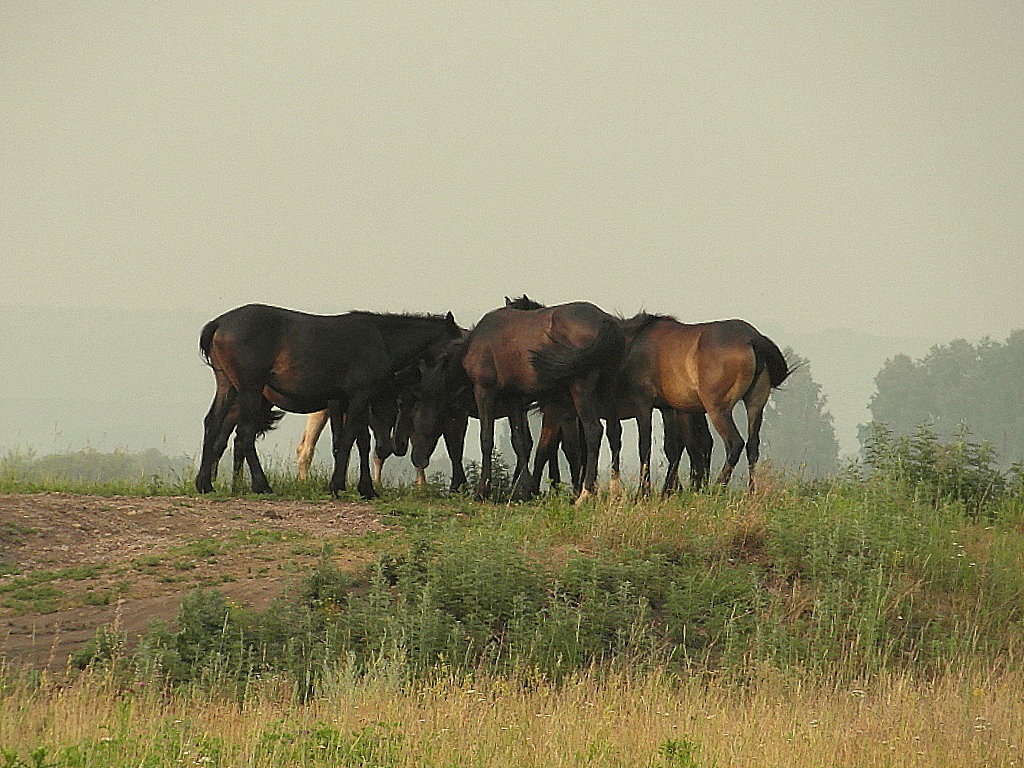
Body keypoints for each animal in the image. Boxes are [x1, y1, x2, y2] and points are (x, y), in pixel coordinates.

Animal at [195, 303, 460, 495]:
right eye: (454, 345)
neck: (381, 339)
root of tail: (219, 323)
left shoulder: (351, 401)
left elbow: (359, 442)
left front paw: (364, 488)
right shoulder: (358, 397)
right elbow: (347, 440)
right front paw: (338, 485)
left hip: (228, 387)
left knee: (213, 424)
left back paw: (205, 484)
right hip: (250, 390)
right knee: (244, 434)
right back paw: (260, 485)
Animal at [409, 292, 622, 499]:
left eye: (417, 422)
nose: (416, 458)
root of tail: (605, 320)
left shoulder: (484, 391)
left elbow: (486, 439)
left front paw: (483, 490)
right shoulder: (513, 398)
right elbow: (519, 441)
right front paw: (526, 488)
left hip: (581, 389)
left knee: (593, 431)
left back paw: (585, 493)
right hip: (607, 392)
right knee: (611, 435)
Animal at [606, 313, 790, 487]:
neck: (633, 343)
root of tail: (752, 338)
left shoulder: (644, 405)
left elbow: (645, 447)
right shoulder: (668, 408)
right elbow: (674, 448)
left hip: (717, 410)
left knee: (734, 443)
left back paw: (717, 487)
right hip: (755, 405)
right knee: (752, 446)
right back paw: (749, 492)